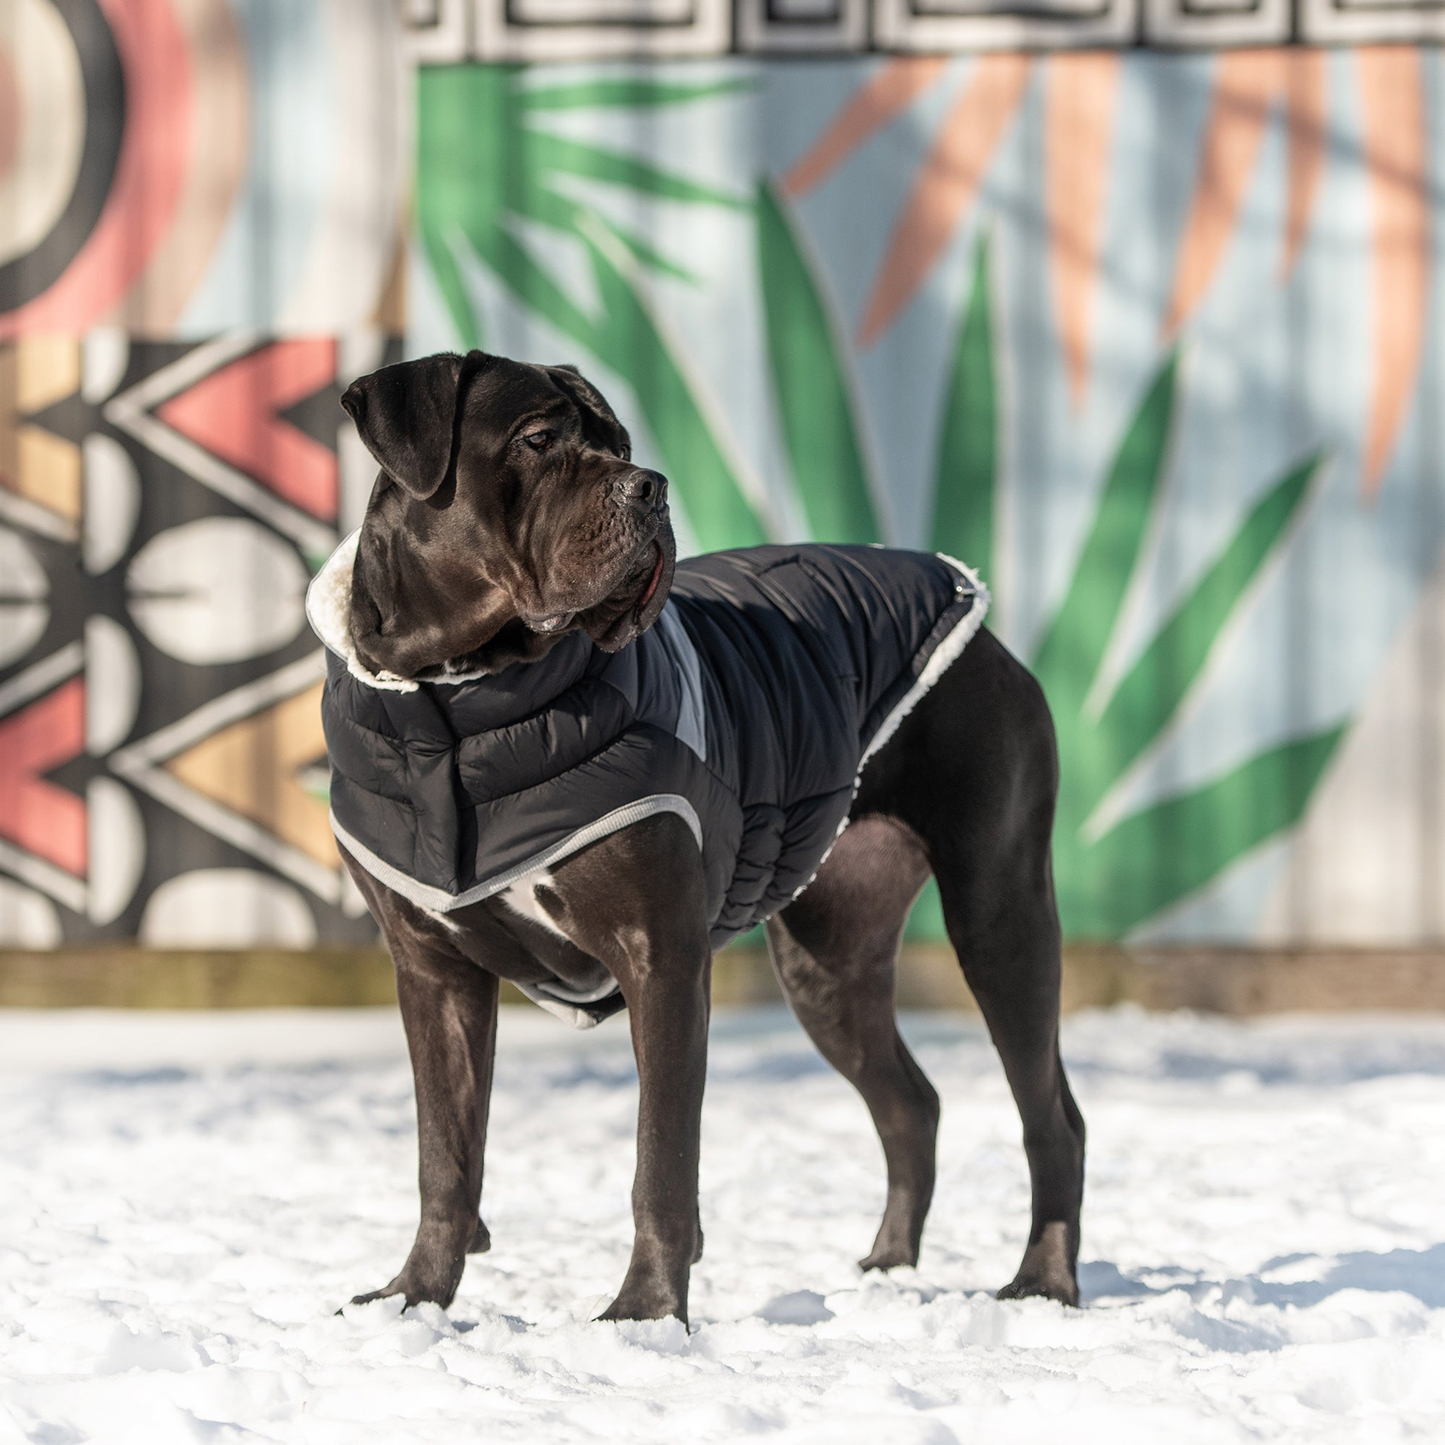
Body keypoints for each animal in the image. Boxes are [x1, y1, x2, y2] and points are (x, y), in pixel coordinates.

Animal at [313, 346, 1086, 1323]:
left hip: (997, 910)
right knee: (912, 1101)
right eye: (538, 439)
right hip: (828, 959)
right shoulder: (432, 969)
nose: (650, 486)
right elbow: (443, 1157)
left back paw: (1042, 1282)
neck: (458, 701)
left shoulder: (662, 957)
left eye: (618, 444)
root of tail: (970, 610)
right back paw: (887, 1267)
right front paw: (414, 1298)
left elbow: (661, 1157)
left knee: (1049, 1113)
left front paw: (644, 1313)